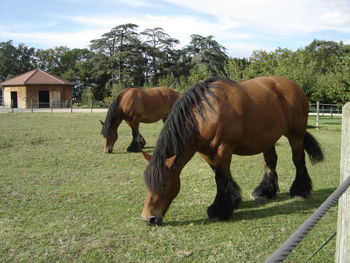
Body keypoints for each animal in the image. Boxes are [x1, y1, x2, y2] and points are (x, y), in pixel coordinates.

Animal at [141, 76, 324, 227]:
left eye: (163, 184)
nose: (149, 218)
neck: (206, 115)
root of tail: (293, 85)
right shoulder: (205, 152)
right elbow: (222, 174)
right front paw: (234, 200)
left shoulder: (224, 148)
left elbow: (221, 177)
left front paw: (219, 210)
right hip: (268, 138)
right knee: (270, 161)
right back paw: (265, 191)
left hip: (295, 134)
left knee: (298, 159)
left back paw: (300, 191)